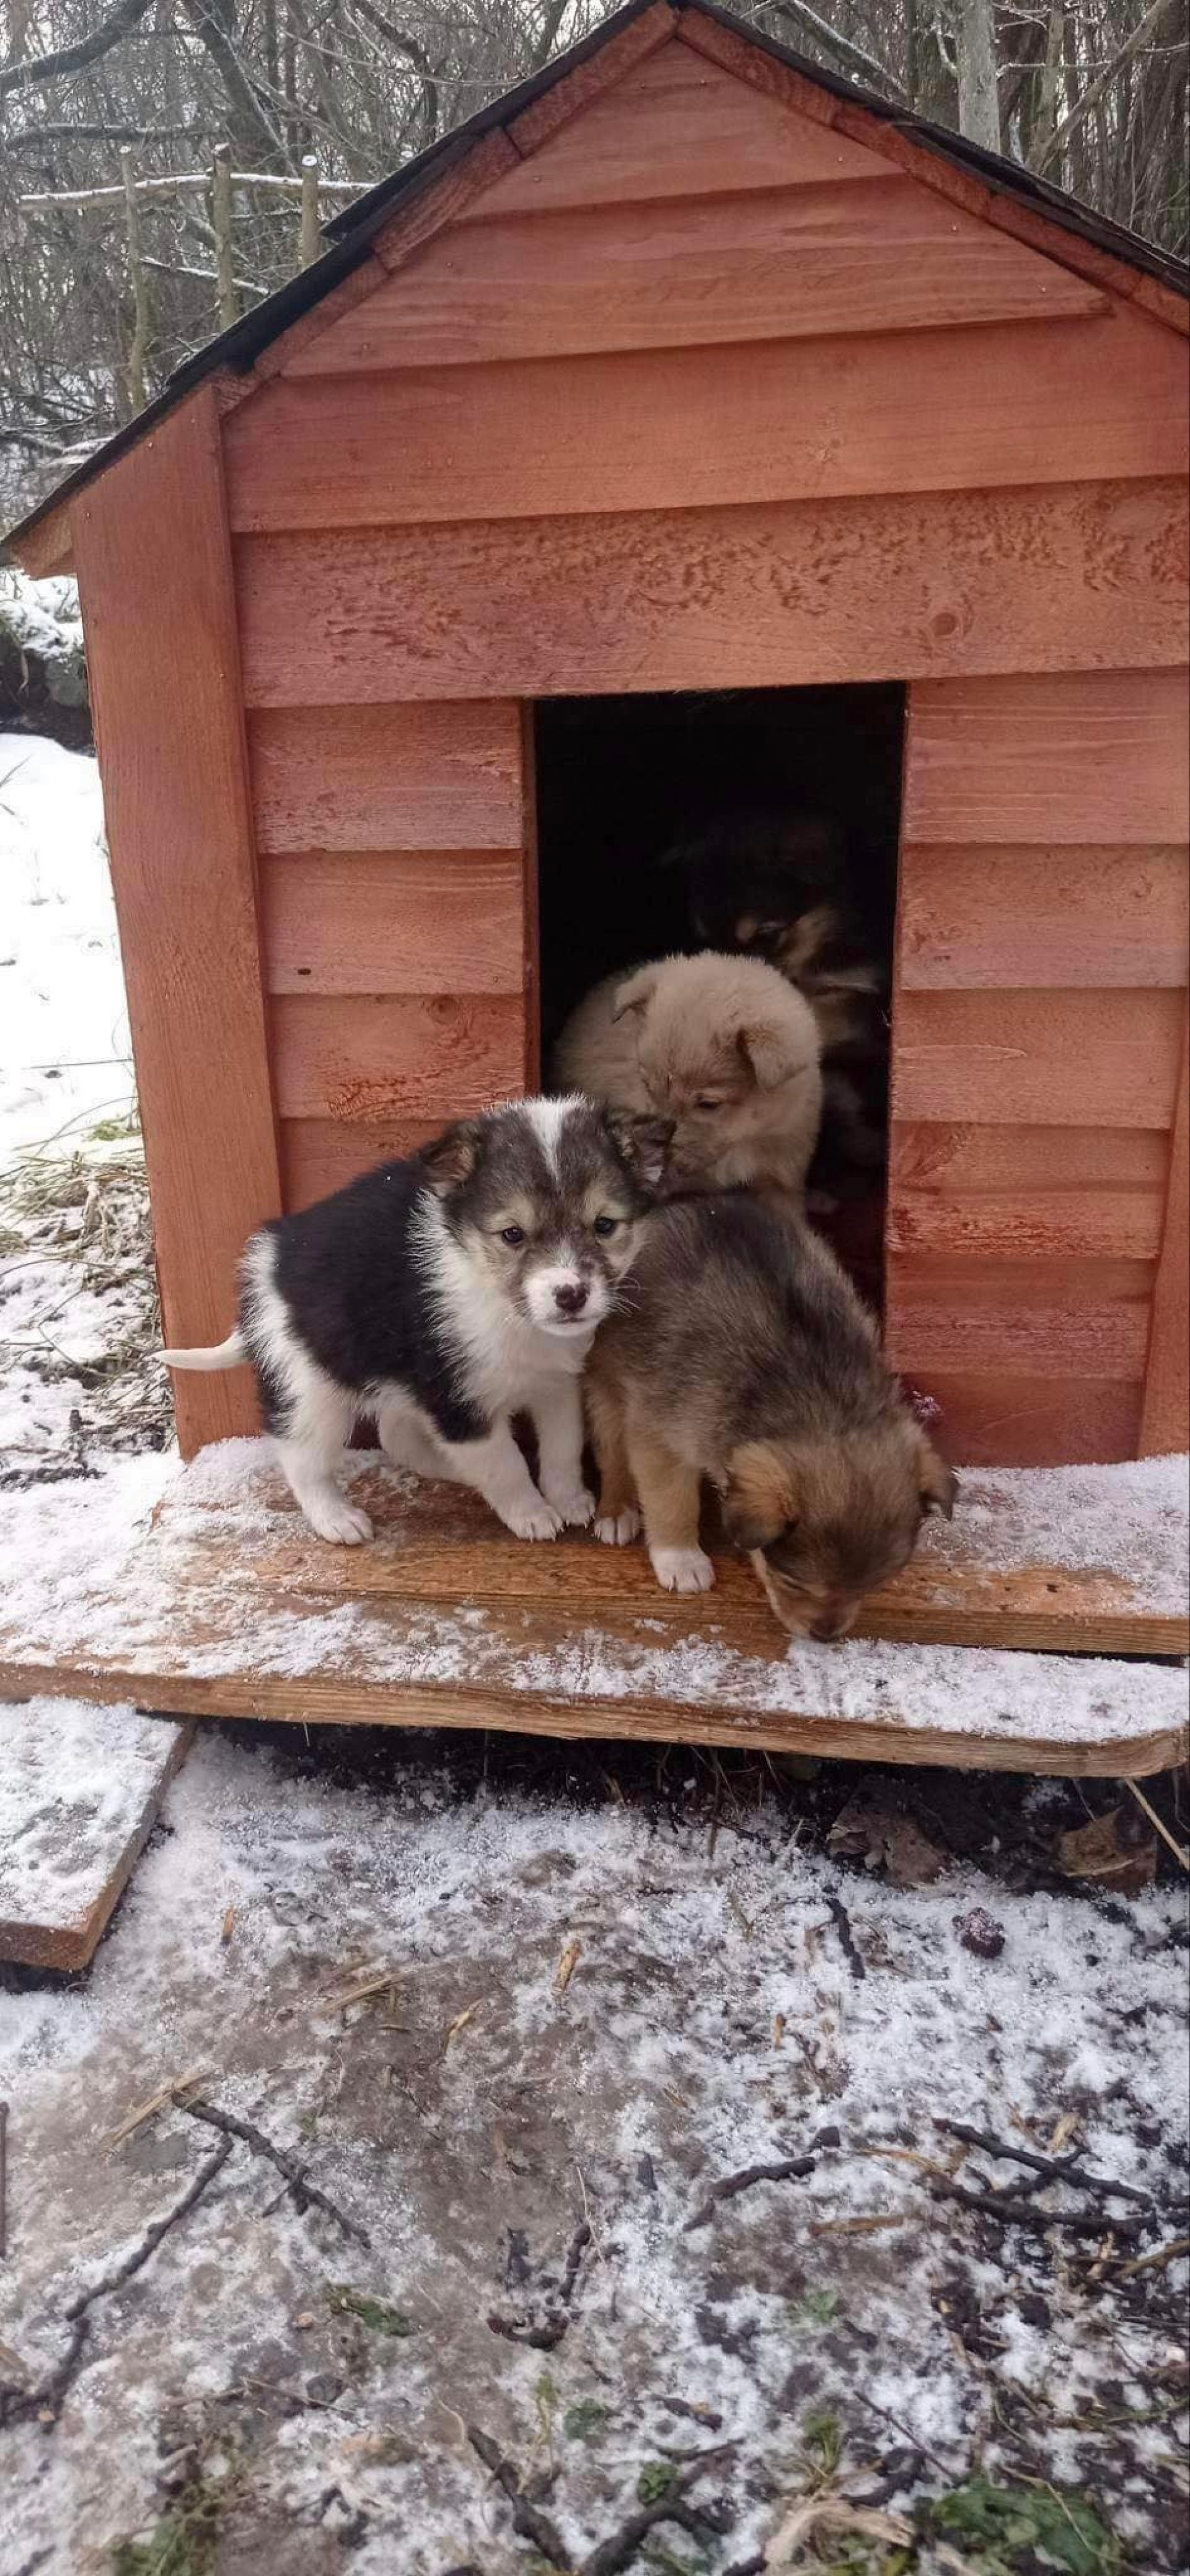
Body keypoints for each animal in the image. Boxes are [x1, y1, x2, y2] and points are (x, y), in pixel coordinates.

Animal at [163, 1097, 669, 1547]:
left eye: (604, 1226)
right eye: (512, 1234)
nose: (571, 1295)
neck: (502, 1307)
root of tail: (270, 1264)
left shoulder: (555, 1385)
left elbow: (563, 1448)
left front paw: (570, 1500)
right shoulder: (458, 1405)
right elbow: (505, 1465)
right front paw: (532, 1514)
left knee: (396, 1436)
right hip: (309, 1387)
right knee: (302, 1456)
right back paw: (336, 1518)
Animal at [585, 1191, 955, 1630]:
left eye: (871, 1586)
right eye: (793, 1581)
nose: (825, 1636)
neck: (820, 1396)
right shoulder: (661, 1435)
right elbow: (673, 1502)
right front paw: (681, 1559)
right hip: (608, 1383)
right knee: (612, 1452)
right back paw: (617, 1509)